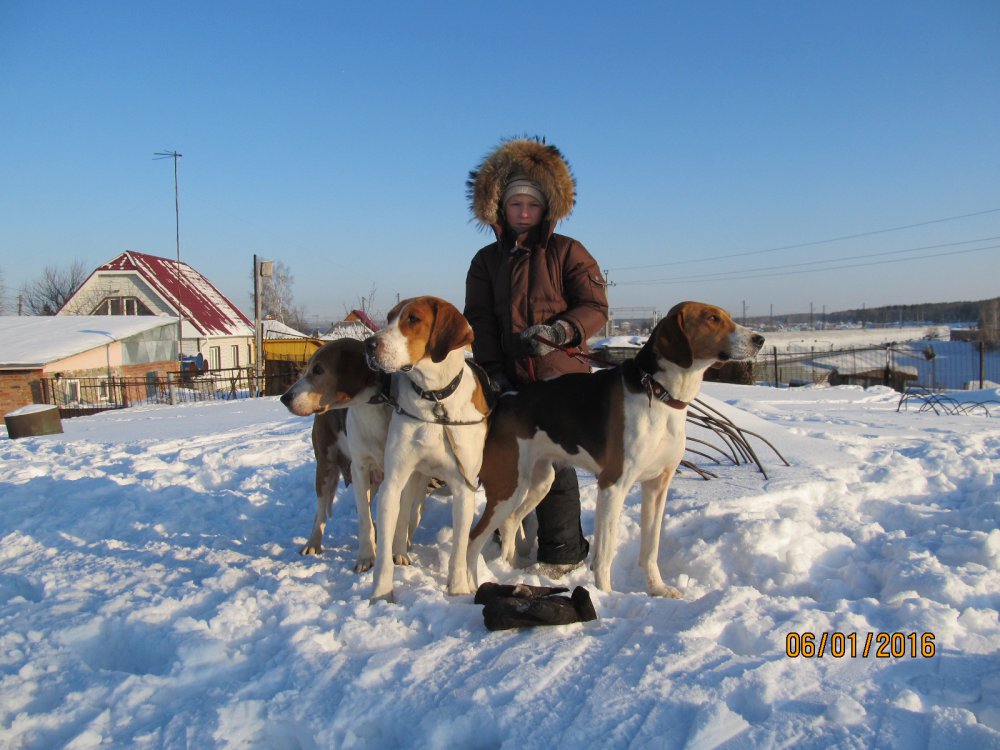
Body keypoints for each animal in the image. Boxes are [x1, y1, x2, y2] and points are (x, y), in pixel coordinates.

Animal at [280, 340, 424, 576]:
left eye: (318, 369)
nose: (284, 398)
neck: (380, 404)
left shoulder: (408, 472)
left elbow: (403, 516)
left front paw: (398, 552)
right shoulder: (360, 468)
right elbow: (364, 518)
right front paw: (366, 557)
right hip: (326, 467)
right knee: (321, 511)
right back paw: (313, 543)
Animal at [368, 296, 492, 604]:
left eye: (413, 319)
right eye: (389, 318)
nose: (369, 344)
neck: (434, 400)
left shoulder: (463, 487)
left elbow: (460, 548)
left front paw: (458, 589)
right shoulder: (393, 481)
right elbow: (383, 552)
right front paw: (381, 595)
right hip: (411, 478)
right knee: (403, 516)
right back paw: (400, 551)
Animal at [464, 300, 760, 600]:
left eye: (728, 316)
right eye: (712, 318)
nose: (759, 339)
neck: (658, 393)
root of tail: (503, 400)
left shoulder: (657, 486)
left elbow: (650, 549)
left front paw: (658, 589)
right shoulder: (613, 485)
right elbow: (605, 553)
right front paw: (605, 595)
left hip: (538, 482)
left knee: (511, 521)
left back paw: (509, 568)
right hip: (508, 486)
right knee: (473, 538)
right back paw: (471, 585)